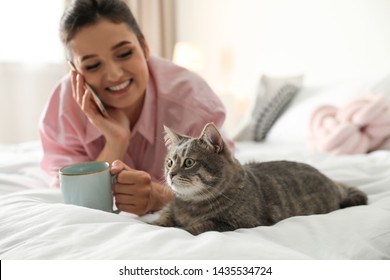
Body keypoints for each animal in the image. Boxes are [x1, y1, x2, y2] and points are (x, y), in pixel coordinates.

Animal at [153, 122, 368, 234]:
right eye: (169, 163)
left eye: (189, 162)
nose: (170, 174)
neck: (191, 204)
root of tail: (332, 182)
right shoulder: (170, 208)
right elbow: (164, 216)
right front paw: (155, 224)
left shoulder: (238, 224)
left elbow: (196, 227)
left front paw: (182, 228)